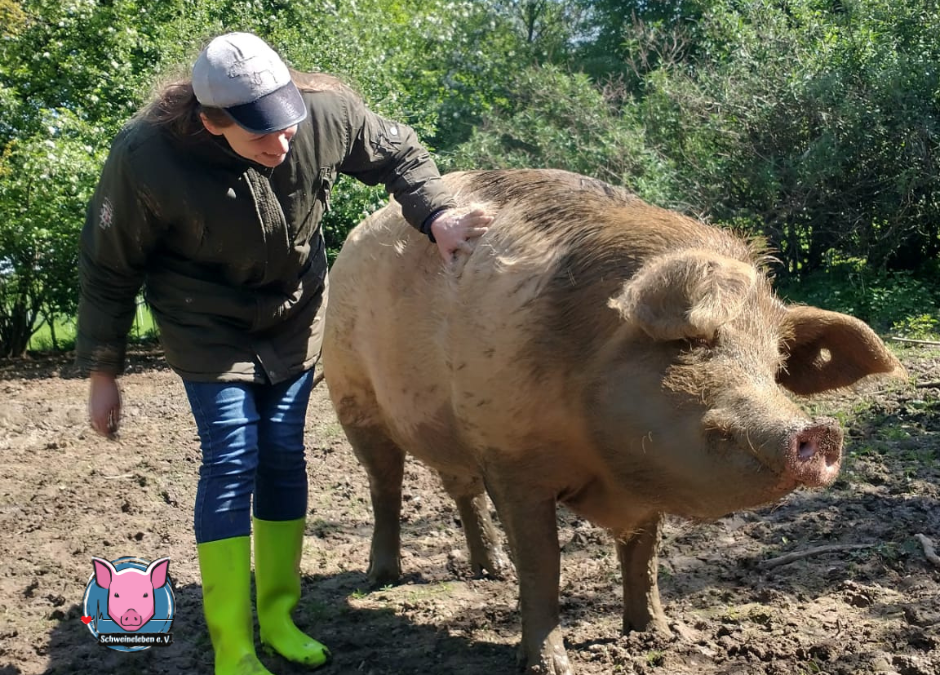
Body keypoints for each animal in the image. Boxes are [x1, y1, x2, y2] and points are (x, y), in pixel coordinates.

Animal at [324, 168, 904, 672]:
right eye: (690, 343)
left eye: (775, 363)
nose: (820, 431)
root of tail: (353, 237)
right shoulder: (511, 461)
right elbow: (543, 564)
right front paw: (551, 667)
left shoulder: (636, 480)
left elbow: (644, 554)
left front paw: (658, 635)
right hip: (350, 394)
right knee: (385, 484)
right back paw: (381, 579)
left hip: (446, 430)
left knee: (460, 491)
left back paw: (491, 570)